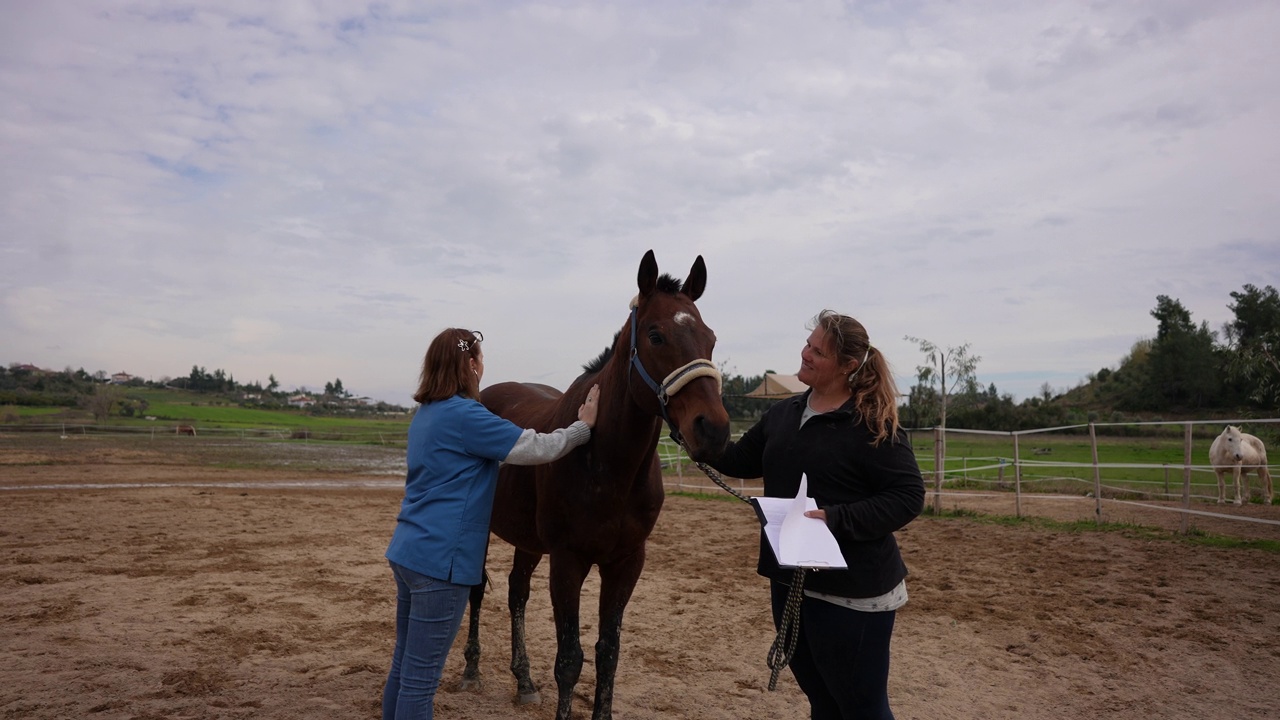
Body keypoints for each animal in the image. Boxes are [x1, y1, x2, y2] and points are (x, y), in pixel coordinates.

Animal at [465, 249, 732, 712]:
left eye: (710, 338)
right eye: (656, 335)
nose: (712, 430)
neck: (609, 468)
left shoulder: (626, 563)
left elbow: (608, 654)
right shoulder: (567, 561)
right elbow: (570, 660)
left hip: (528, 540)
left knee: (517, 592)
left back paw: (524, 680)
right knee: (478, 588)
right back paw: (471, 669)